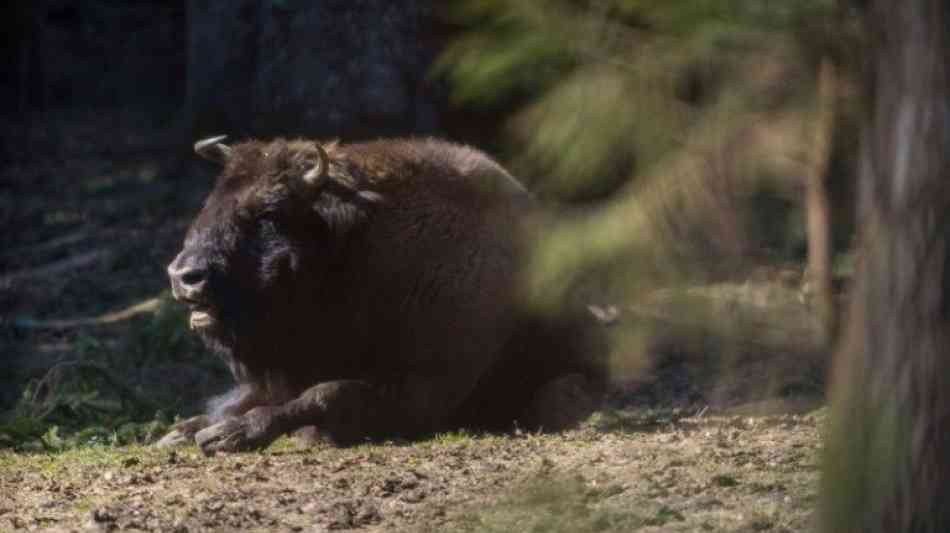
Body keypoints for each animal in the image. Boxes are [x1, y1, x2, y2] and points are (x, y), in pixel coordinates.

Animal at [159, 135, 608, 450]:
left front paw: (229, 435)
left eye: (269, 213)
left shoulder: (420, 393)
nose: (183, 276)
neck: (355, 251)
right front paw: (181, 432)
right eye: (211, 202)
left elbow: (323, 394)